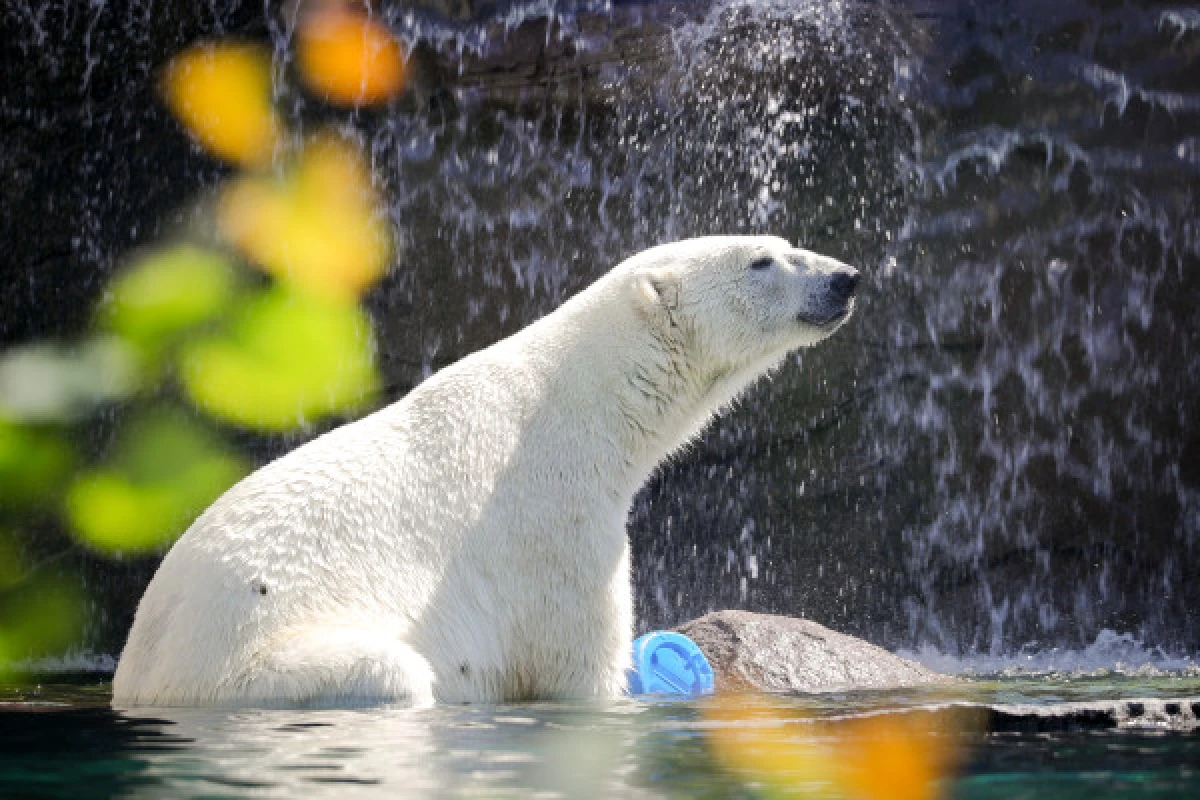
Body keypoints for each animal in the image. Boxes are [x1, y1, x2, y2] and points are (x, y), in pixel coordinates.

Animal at [112, 236, 859, 705]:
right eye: (762, 259)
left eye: (786, 240)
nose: (845, 277)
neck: (583, 403)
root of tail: (138, 677)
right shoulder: (554, 515)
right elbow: (575, 657)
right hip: (254, 664)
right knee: (388, 671)